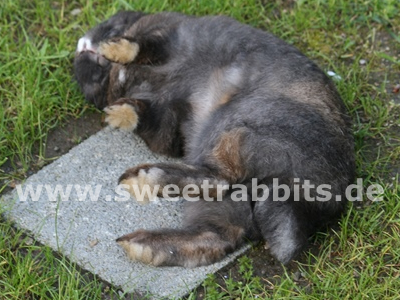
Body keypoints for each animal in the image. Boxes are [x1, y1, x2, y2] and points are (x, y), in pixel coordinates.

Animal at [73, 11, 354, 268]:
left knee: (220, 179)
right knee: (217, 232)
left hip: (235, 129)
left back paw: (143, 179)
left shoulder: (169, 38)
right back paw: (141, 245)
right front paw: (119, 114)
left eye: (113, 23)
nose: (81, 45)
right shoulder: (164, 119)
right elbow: (144, 113)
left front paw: (112, 49)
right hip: (226, 186)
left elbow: (140, 46)